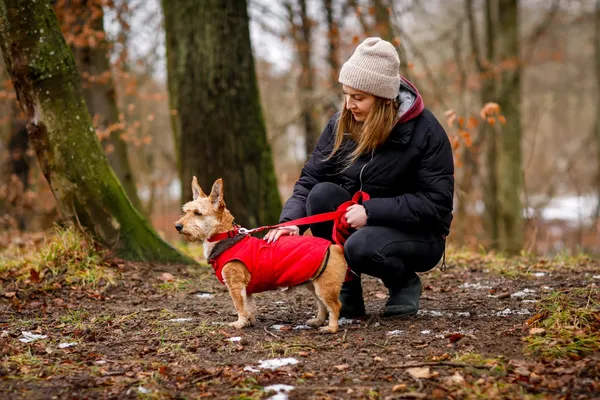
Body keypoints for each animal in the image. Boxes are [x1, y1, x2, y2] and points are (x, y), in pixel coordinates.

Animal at [173, 177, 346, 332]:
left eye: (198, 213)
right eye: (186, 211)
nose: (177, 226)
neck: (226, 238)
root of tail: (335, 247)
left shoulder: (235, 285)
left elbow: (239, 306)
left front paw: (240, 323)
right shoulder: (246, 289)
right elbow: (248, 306)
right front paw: (248, 321)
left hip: (325, 287)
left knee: (335, 306)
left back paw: (331, 328)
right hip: (313, 285)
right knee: (322, 304)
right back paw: (318, 320)